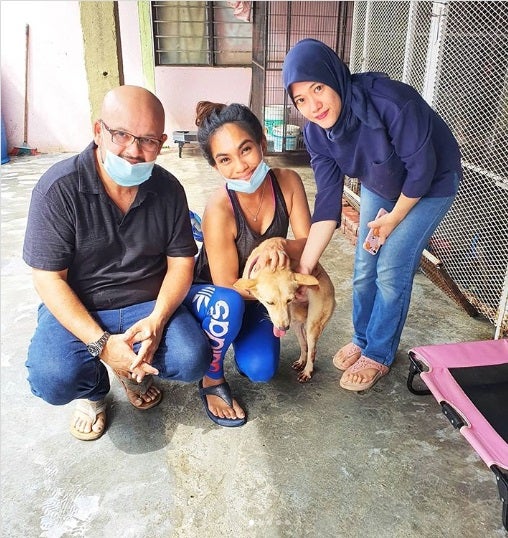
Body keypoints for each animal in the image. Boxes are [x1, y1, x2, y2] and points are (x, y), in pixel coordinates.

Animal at [235, 237, 338, 378]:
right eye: (269, 302)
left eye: (289, 300)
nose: (283, 328)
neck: (272, 265)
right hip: (295, 323)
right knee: (304, 344)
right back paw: (301, 361)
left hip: (312, 326)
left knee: (312, 350)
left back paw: (307, 370)